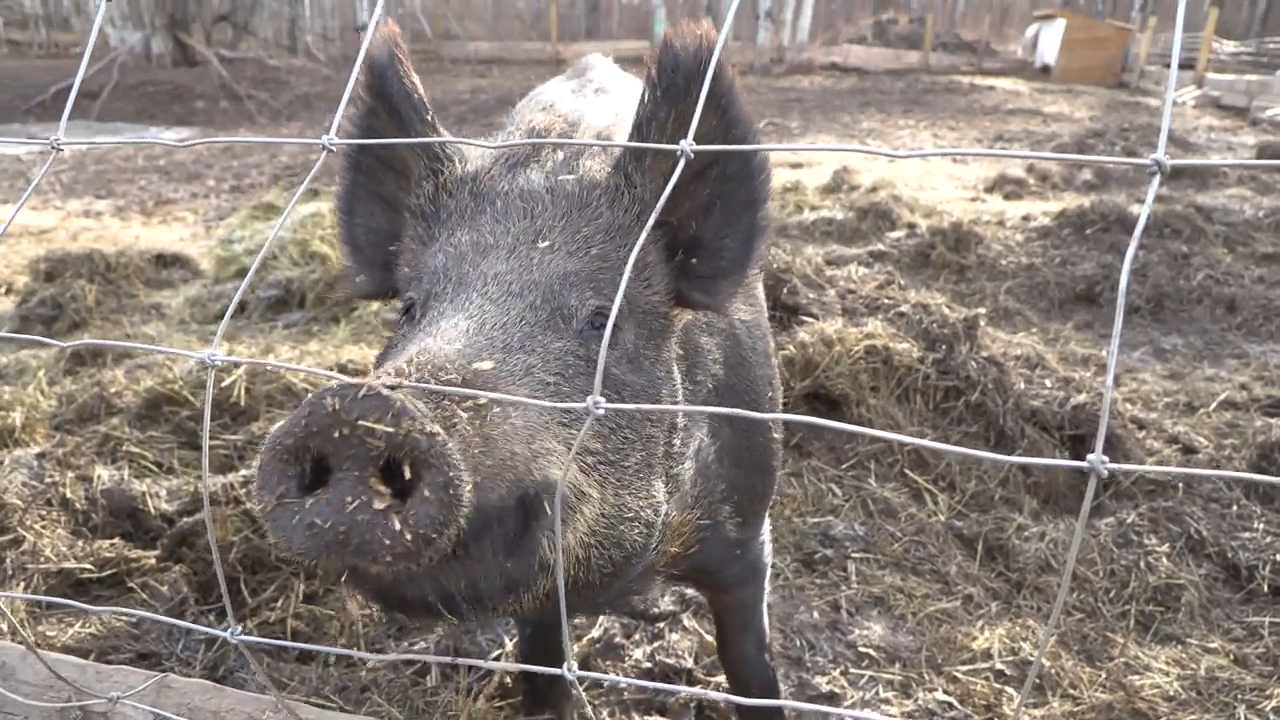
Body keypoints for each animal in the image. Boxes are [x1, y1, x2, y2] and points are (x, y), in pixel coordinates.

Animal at [253, 16, 785, 720]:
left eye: (603, 320)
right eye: (410, 308)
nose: (368, 409)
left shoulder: (749, 533)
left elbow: (750, 661)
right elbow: (541, 661)